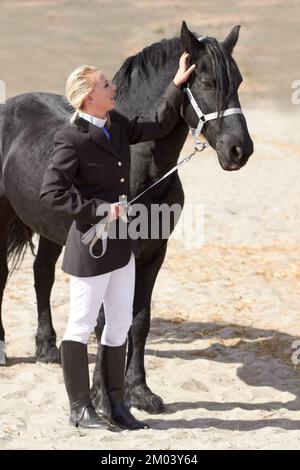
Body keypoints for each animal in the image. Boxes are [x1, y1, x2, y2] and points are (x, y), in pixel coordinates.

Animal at [0, 22, 253, 412]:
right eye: (208, 82)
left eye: (238, 81)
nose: (240, 150)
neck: (139, 168)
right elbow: (105, 322)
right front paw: (100, 398)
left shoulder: (154, 254)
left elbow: (138, 321)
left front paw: (139, 392)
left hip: (50, 228)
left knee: (42, 275)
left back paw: (46, 348)